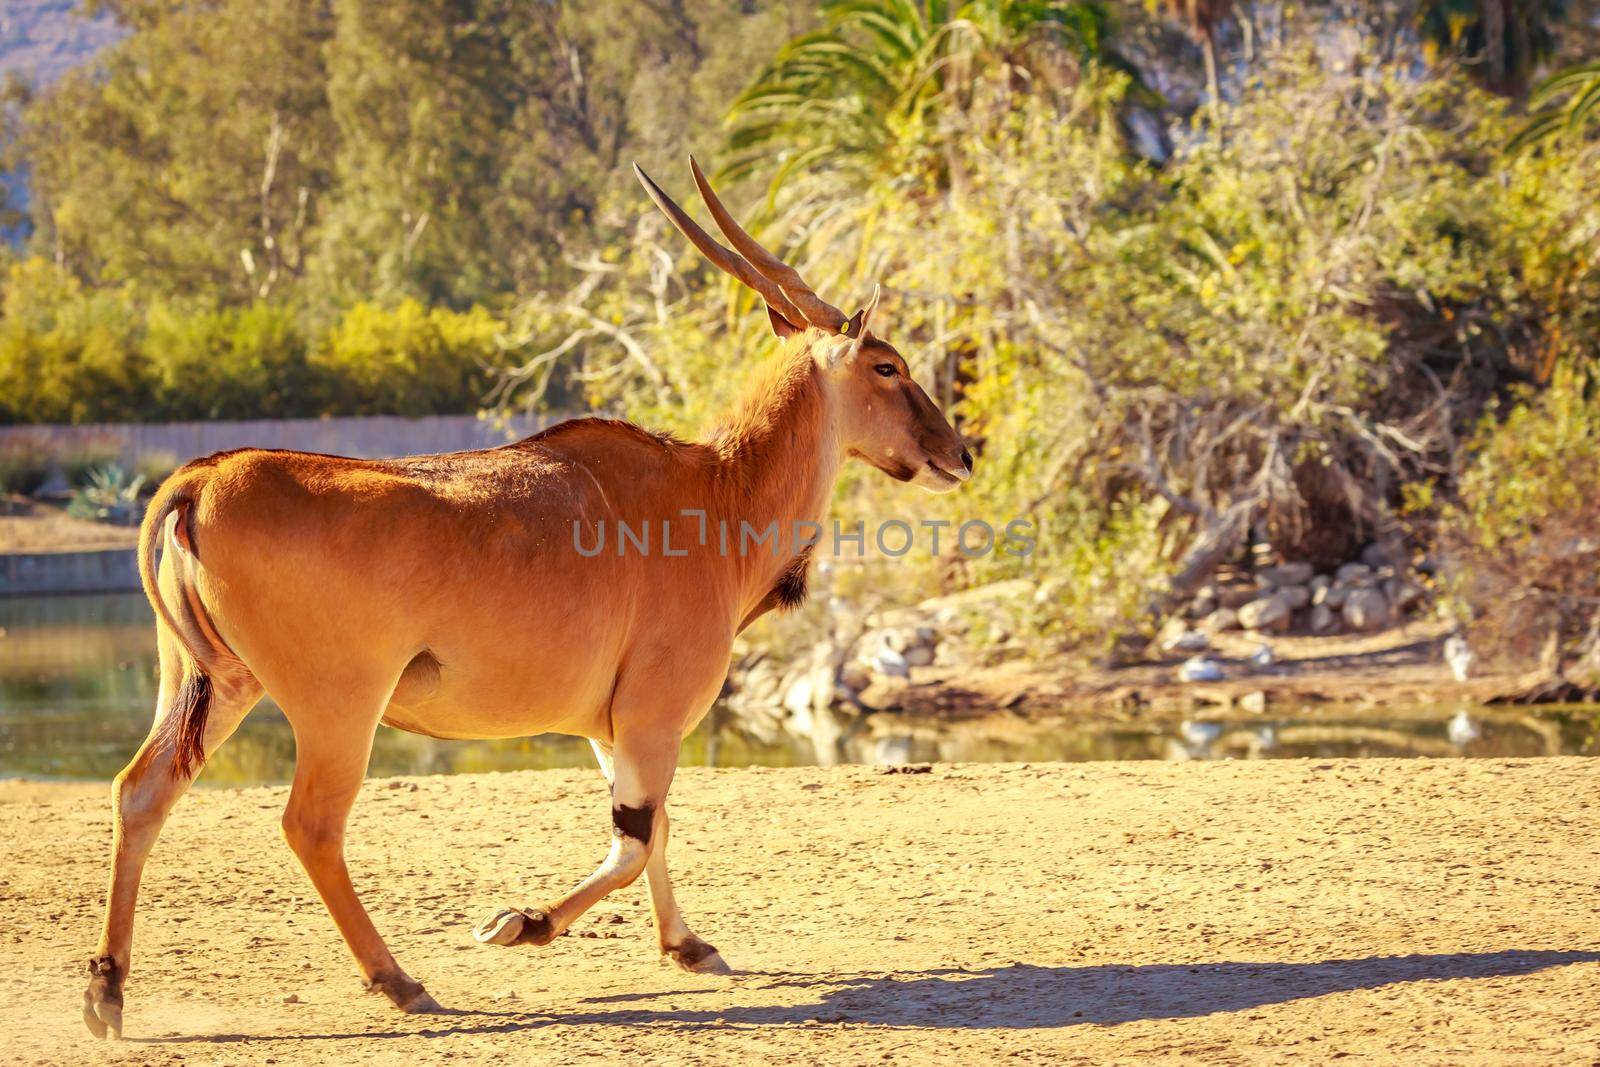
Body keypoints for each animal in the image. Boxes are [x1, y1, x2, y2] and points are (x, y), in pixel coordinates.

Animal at [87, 158, 972, 1036]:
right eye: (887, 366)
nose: (958, 453)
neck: (710, 492)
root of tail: (202, 479)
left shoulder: (614, 729)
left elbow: (654, 831)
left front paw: (687, 945)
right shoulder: (651, 718)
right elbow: (634, 841)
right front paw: (521, 922)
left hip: (214, 686)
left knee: (141, 791)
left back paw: (108, 989)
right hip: (338, 709)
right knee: (310, 824)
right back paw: (400, 981)